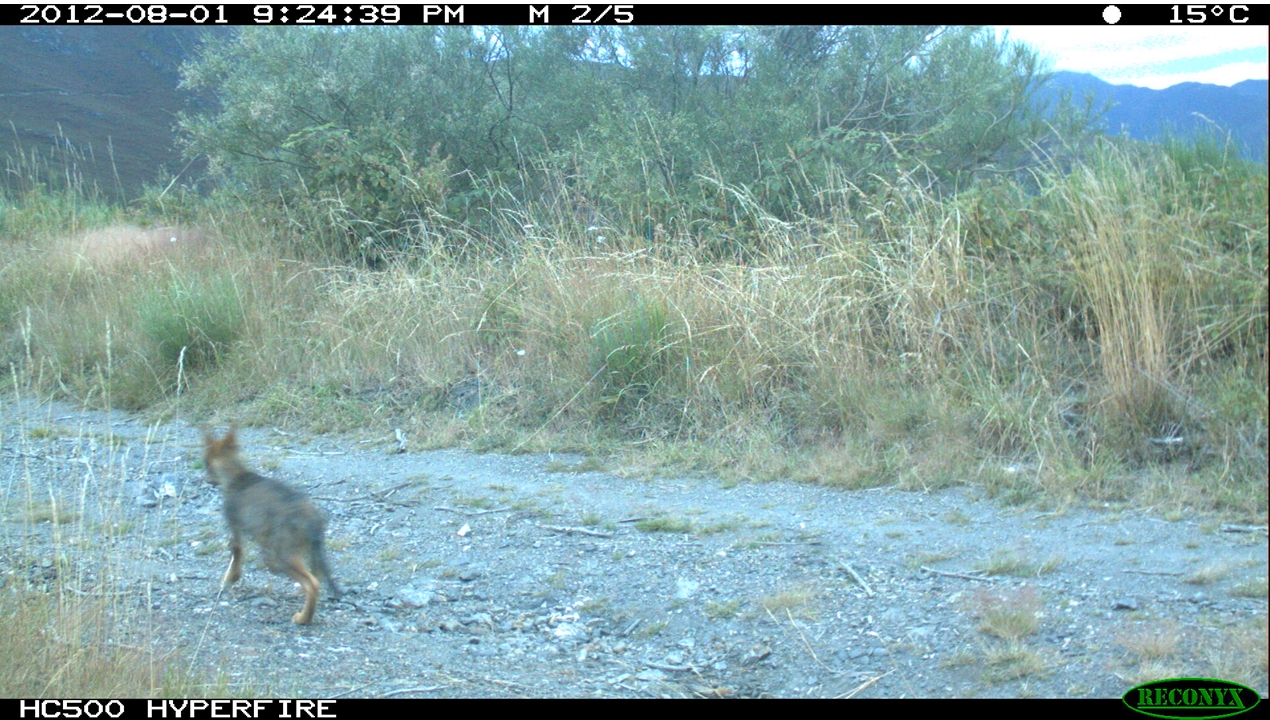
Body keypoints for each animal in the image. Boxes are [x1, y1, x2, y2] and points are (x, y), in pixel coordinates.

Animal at [202, 427, 340, 624]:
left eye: (205, 462)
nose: (207, 479)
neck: (237, 475)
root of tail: (312, 519)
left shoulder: (235, 525)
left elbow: (236, 553)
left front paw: (230, 577)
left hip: (286, 556)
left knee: (312, 584)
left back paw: (302, 619)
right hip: (308, 551)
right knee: (317, 578)